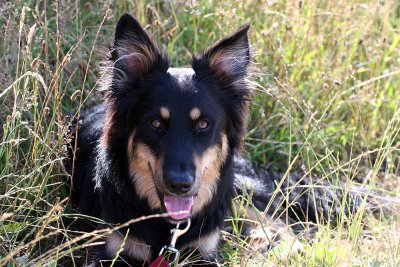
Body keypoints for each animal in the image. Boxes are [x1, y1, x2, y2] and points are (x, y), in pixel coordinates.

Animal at [67, 13, 252, 266]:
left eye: (203, 124)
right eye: (155, 123)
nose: (179, 185)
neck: (169, 227)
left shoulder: (204, 250)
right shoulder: (112, 249)